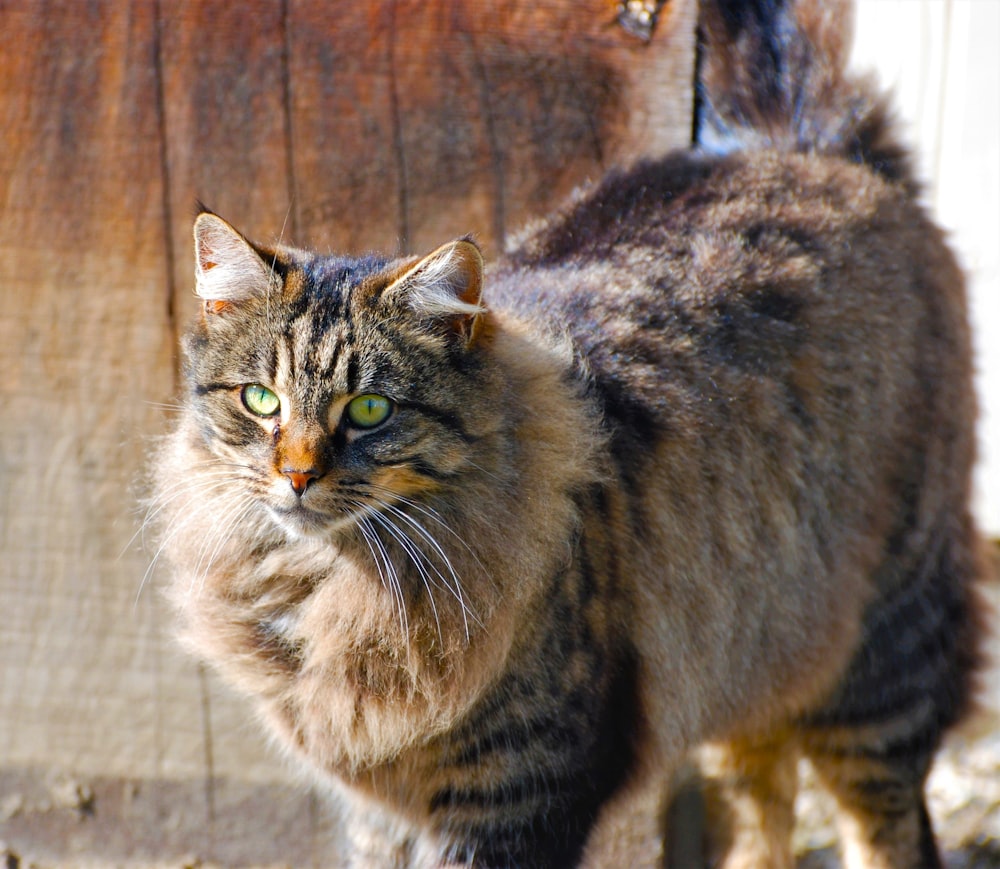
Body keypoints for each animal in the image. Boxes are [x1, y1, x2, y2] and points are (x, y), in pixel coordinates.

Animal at [152, 0, 988, 864]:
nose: (297, 474)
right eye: (261, 400)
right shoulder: (382, 805)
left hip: (886, 651)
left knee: (889, 822)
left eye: (370, 410)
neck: (329, 583)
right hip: (752, 644)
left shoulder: (516, 790)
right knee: (763, 798)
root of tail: (799, 147)